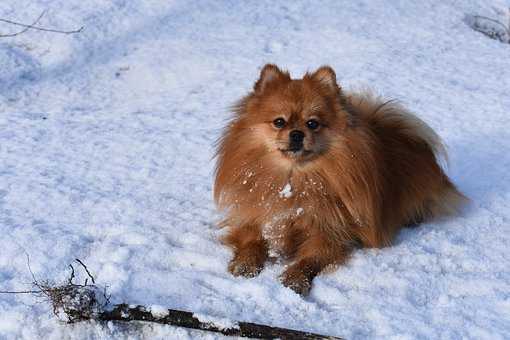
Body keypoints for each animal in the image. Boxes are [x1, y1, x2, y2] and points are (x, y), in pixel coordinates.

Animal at [211, 63, 466, 294]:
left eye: (312, 123)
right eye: (279, 122)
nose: (297, 134)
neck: (294, 180)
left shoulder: (330, 232)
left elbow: (309, 259)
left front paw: (295, 279)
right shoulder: (255, 216)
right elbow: (251, 241)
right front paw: (246, 262)